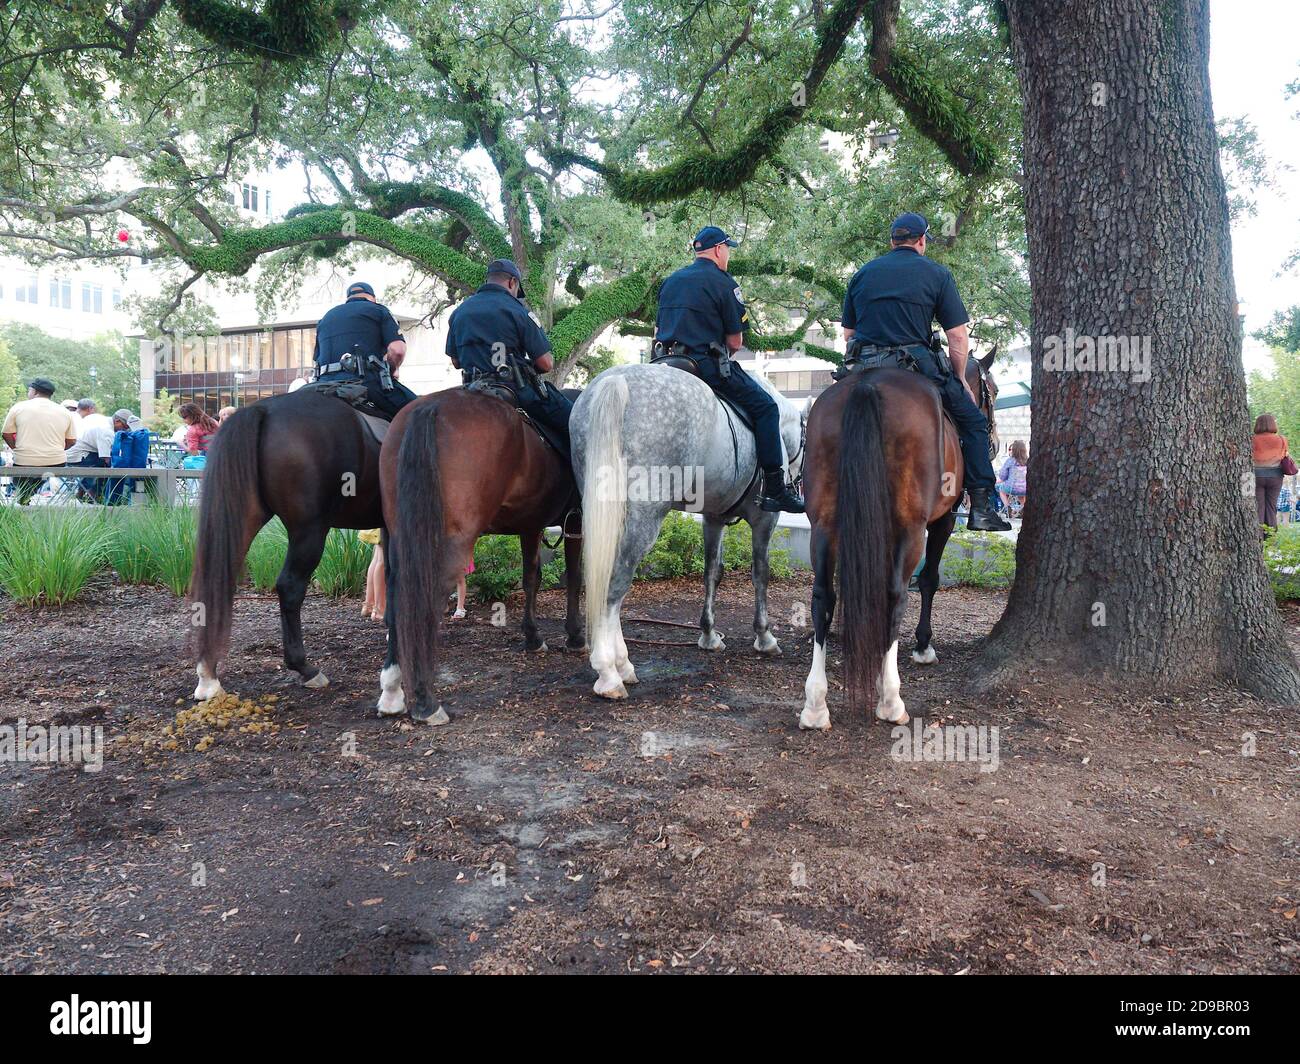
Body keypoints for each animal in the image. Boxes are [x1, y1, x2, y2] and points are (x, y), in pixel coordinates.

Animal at [189, 385, 384, 702]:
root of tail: (263, 409)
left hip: (244, 517)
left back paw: (208, 676)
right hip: (309, 530)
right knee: (290, 587)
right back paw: (304, 667)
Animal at [377, 382, 579, 723]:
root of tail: (429, 407)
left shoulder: (530, 525)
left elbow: (531, 578)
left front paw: (533, 637)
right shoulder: (578, 520)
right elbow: (576, 578)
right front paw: (575, 636)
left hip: (398, 536)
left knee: (396, 597)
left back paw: (392, 691)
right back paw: (426, 701)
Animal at [574, 361, 806, 702]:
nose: (798, 485)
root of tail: (615, 381)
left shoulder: (713, 519)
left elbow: (712, 572)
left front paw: (709, 634)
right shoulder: (766, 518)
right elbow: (760, 574)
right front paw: (764, 637)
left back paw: (622, 665)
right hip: (642, 519)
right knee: (614, 587)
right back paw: (609, 672)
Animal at [795, 348, 998, 728]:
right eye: (991, 389)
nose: (993, 443)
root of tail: (869, 384)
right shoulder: (944, 519)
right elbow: (929, 579)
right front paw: (923, 646)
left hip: (824, 522)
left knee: (823, 596)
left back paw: (815, 703)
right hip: (912, 526)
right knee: (896, 594)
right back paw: (890, 697)